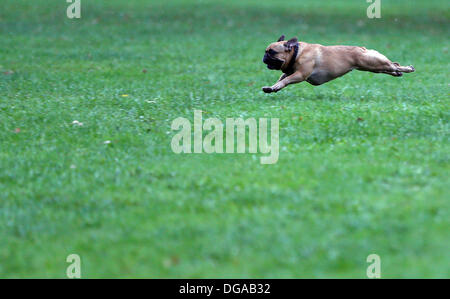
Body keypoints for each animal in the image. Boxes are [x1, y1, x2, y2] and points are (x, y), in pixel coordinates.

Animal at [264, 35, 414, 93]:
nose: (264, 57)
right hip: (374, 67)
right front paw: (272, 87)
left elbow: (287, 80)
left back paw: (408, 68)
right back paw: (397, 73)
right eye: (266, 51)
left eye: (272, 52)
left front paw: (275, 86)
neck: (297, 52)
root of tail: (362, 48)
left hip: (374, 63)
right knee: (392, 66)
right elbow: (281, 79)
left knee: (393, 65)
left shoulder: (300, 75)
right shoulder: (289, 72)